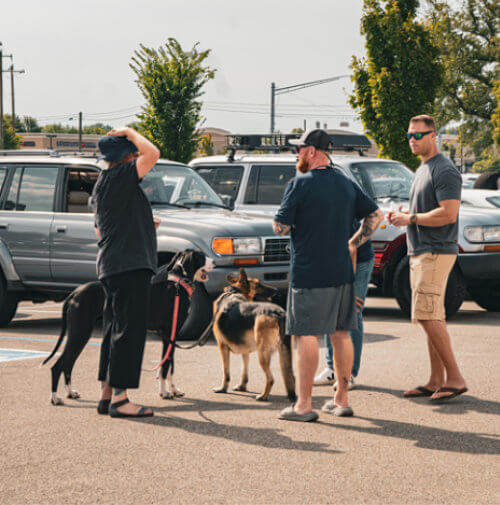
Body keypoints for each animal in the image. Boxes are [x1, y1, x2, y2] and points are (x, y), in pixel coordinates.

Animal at [43, 249, 213, 406]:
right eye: (202, 256)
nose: (215, 262)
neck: (177, 285)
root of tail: (74, 293)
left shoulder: (171, 336)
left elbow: (170, 365)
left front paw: (174, 390)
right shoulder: (169, 334)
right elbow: (165, 367)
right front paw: (165, 393)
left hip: (80, 334)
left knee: (68, 364)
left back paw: (70, 392)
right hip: (80, 333)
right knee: (58, 366)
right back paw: (54, 398)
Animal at [212, 268, 296, 402]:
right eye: (258, 285)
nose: (277, 291)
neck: (233, 293)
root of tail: (279, 313)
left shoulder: (222, 347)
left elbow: (226, 373)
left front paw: (222, 389)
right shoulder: (245, 351)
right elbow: (244, 372)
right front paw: (242, 387)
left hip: (262, 354)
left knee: (271, 379)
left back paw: (263, 396)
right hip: (284, 352)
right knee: (291, 376)